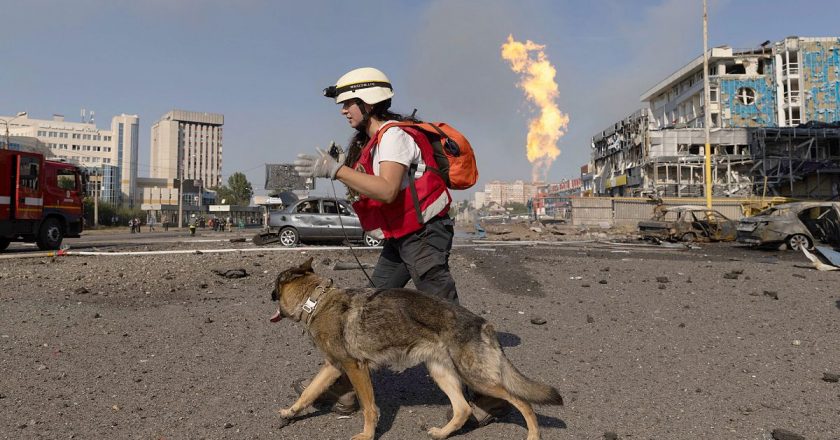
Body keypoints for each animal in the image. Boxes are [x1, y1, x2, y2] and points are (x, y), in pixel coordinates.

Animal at [270, 258, 560, 440]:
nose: (269, 296)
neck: (315, 301)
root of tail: (483, 324)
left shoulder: (356, 367)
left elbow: (369, 407)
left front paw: (368, 435)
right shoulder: (333, 367)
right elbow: (308, 392)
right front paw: (290, 412)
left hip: (476, 378)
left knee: (522, 401)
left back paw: (533, 434)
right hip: (441, 372)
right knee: (463, 409)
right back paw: (442, 433)